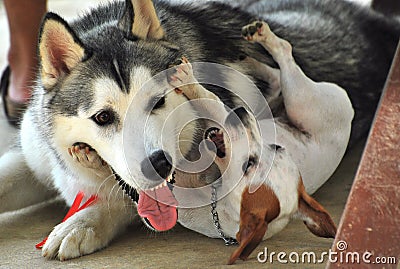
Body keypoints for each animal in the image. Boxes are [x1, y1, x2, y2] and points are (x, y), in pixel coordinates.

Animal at [0, 0, 398, 260]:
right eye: (102, 118)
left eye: (158, 101)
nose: (158, 165)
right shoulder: (36, 155)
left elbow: (124, 203)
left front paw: (80, 223)